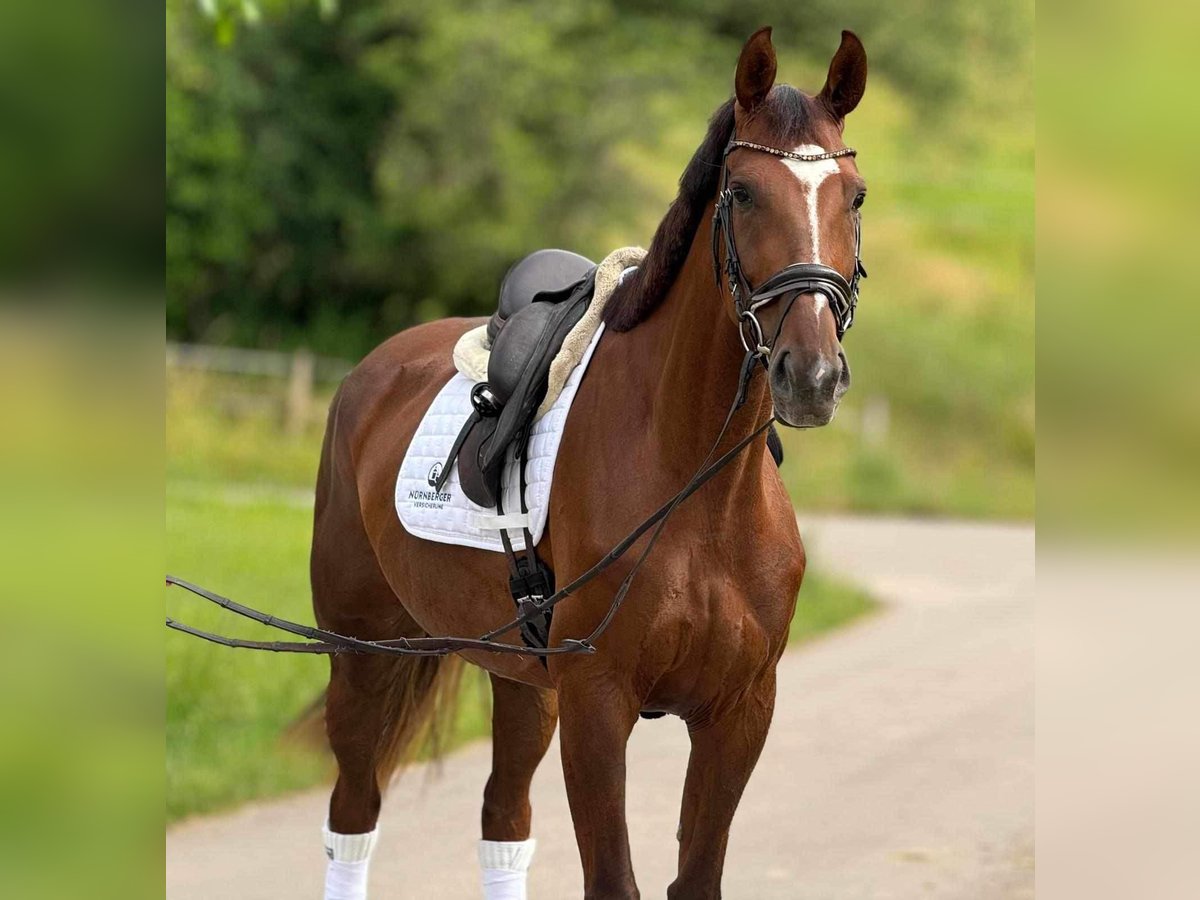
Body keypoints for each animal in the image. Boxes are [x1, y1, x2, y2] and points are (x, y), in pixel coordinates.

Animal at [312, 24, 864, 897]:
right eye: (743, 193)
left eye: (856, 197)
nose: (810, 376)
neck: (695, 492)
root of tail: (372, 371)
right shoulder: (598, 706)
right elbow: (615, 879)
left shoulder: (740, 712)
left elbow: (695, 877)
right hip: (362, 658)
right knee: (354, 814)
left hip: (518, 681)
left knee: (503, 819)